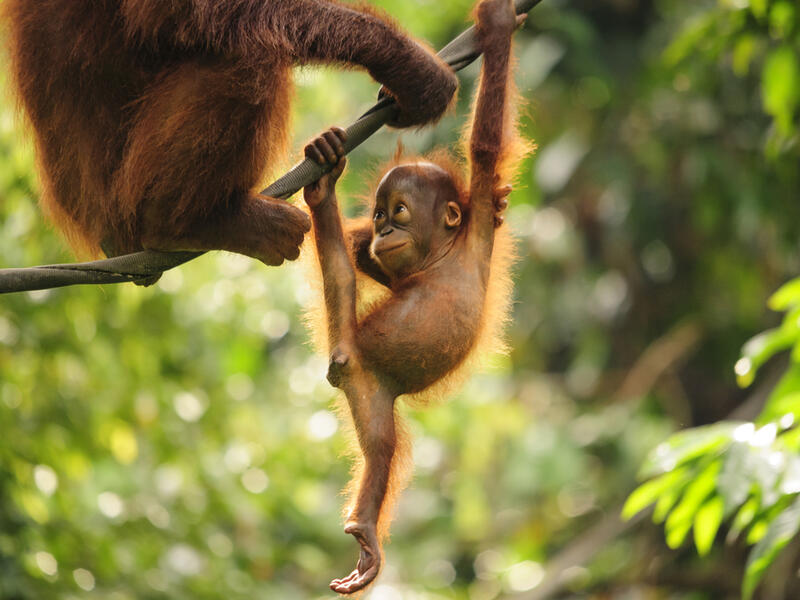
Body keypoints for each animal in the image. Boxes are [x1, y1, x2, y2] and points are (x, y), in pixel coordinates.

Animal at [302, 0, 530, 592]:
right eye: (380, 214)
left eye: (398, 213)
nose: (383, 230)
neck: (445, 256)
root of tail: (349, 360)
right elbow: (485, 145)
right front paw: (498, 26)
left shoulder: (473, 229)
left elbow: (485, 153)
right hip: (359, 368)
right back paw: (320, 191)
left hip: (369, 394)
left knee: (381, 451)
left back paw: (364, 531)